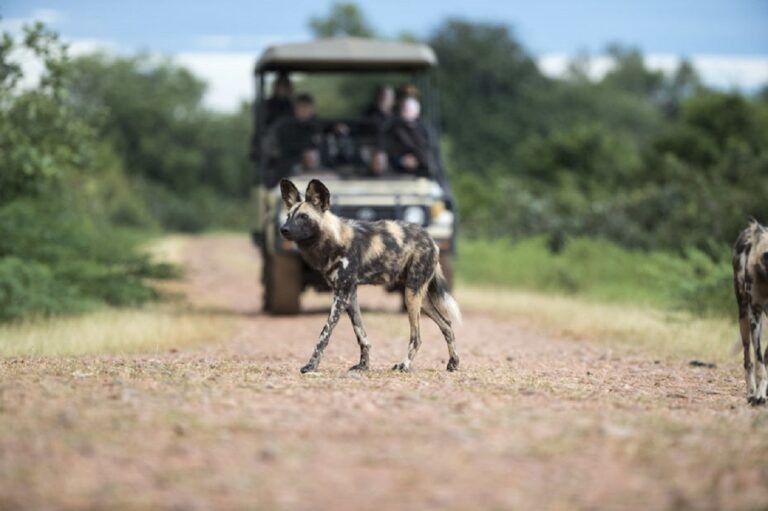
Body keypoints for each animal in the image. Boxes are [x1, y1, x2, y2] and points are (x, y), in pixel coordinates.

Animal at [282, 178, 462, 374]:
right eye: (288, 216)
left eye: (303, 217)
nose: (283, 229)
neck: (333, 240)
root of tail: (431, 239)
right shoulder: (349, 295)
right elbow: (361, 335)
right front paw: (363, 365)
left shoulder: (341, 295)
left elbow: (324, 334)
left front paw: (311, 365)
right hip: (420, 298)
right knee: (447, 325)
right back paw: (453, 363)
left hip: (411, 296)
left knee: (417, 337)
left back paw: (405, 365)